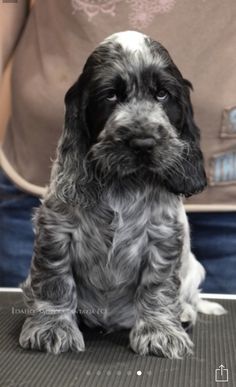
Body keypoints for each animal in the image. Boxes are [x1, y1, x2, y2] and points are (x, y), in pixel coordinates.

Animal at [19, 31, 226, 360]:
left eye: (162, 95)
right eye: (111, 96)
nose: (143, 142)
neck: (124, 183)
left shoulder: (163, 237)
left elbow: (157, 286)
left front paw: (160, 332)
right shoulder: (56, 230)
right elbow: (55, 280)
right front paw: (52, 328)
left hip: (194, 269)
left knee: (189, 297)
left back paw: (183, 314)